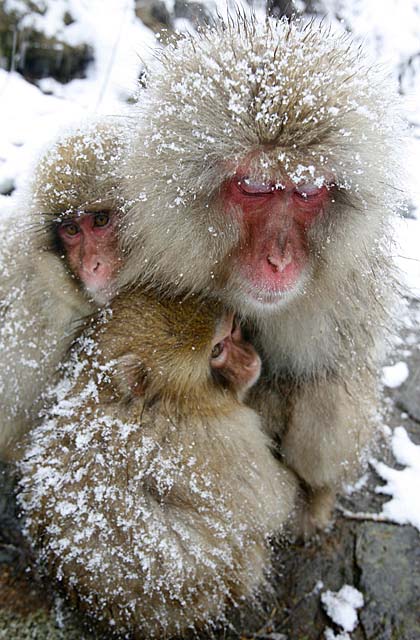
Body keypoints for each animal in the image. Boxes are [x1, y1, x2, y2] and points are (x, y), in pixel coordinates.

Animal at [121, 17, 404, 532]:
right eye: (254, 186)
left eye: (307, 190)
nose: (279, 259)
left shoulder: (351, 295)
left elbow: (331, 382)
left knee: (327, 406)